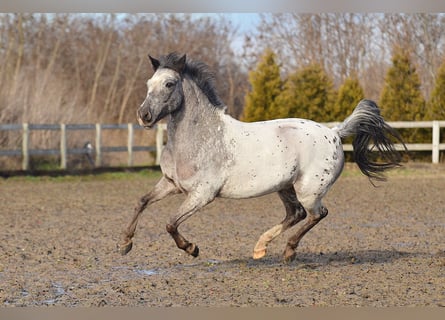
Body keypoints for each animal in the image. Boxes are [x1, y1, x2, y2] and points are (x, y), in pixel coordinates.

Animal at [119, 52, 406, 262]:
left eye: (169, 84)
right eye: (148, 84)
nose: (144, 116)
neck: (200, 137)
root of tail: (334, 133)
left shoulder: (202, 195)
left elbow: (170, 224)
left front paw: (192, 249)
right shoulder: (171, 184)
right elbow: (141, 202)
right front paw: (124, 244)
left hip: (309, 190)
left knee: (317, 214)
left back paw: (288, 251)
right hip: (285, 186)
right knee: (296, 214)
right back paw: (260, 248)